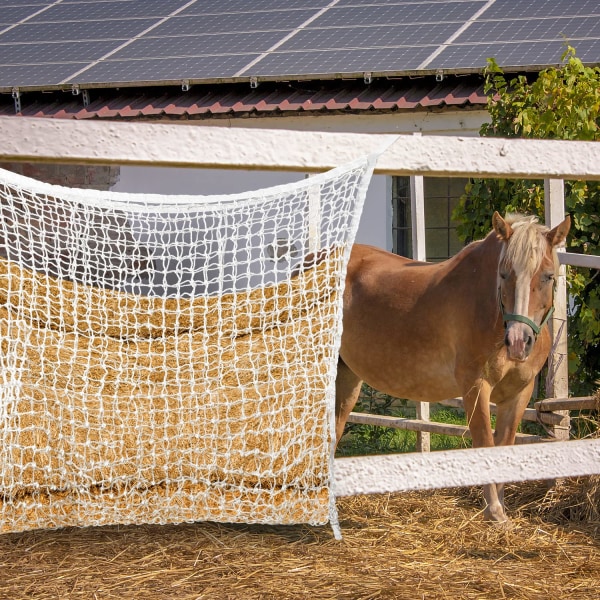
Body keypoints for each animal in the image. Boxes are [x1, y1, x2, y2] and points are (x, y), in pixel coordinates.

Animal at [336, 211, 568, 520]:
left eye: (548, 276)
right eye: (504, 274)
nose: (518, 341)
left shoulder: (519, 393)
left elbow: (505, 444)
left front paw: (500, 508)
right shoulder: (475, 387)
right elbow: (485, 441)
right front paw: (493, 510)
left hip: (346, 377)